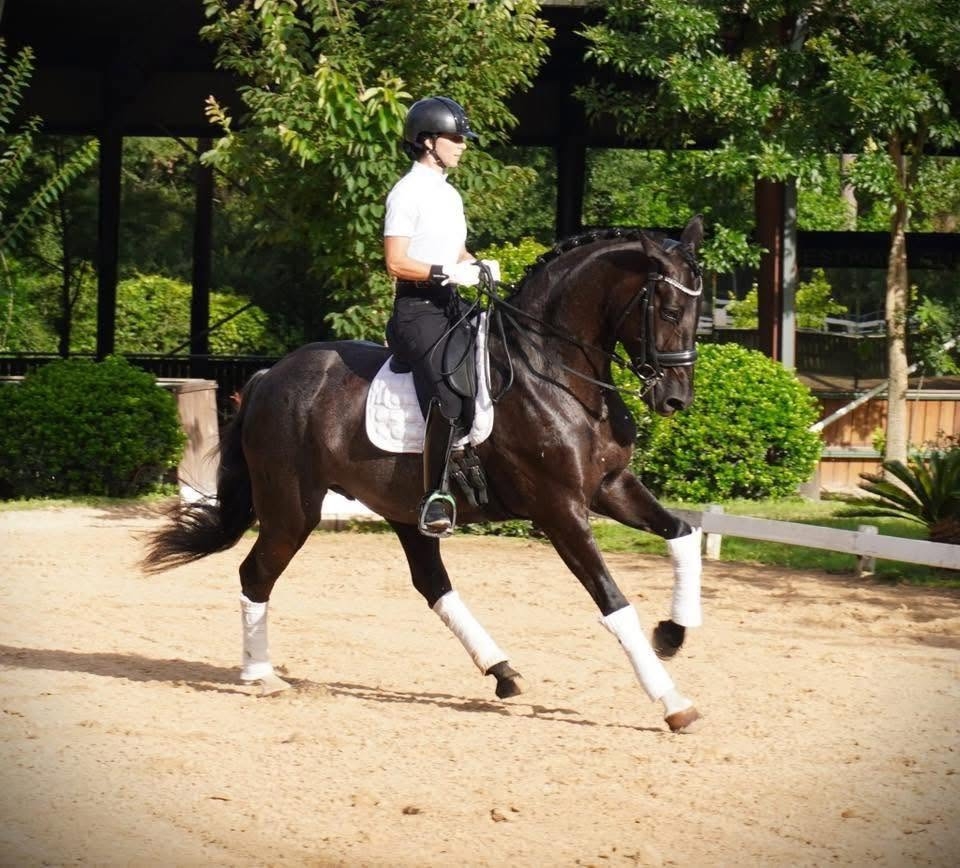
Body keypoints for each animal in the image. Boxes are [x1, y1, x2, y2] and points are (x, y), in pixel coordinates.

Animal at [142, 215, 707, 733]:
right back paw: (261, 674)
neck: (552, 370)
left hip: (400, 508)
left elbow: (683, 534)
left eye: (698, 313)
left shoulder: (609, 487)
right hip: (291, 509)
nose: (674, 399)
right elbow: (613, 601)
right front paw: (673, 701)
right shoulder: (559, 509)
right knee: (256, 573)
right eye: (668, 309)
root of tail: (268, 376)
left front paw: (673, 633)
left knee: (431, 582)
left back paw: (502, 671)